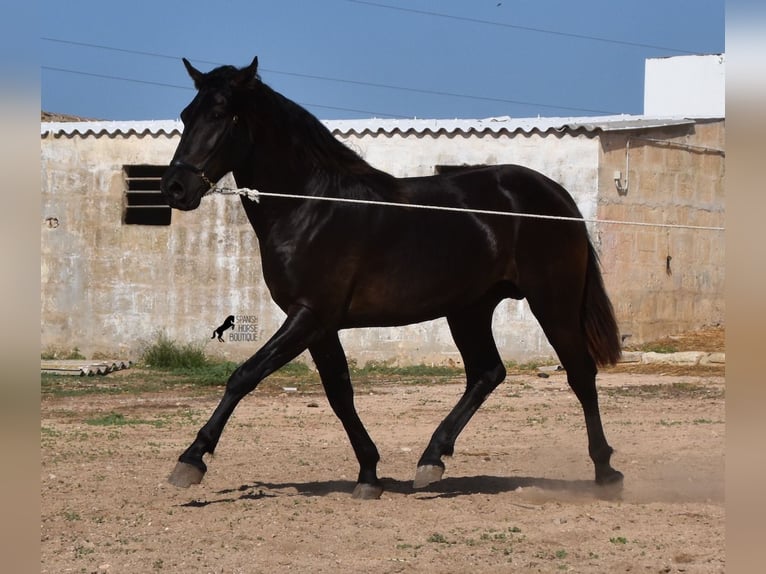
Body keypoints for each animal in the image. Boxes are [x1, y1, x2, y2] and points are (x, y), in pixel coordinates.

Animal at [162, 57, 624, 500]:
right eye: (186, 114)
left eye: (220, 114)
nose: (174, 187)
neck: (310, 207)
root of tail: (555, 195)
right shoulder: (320, 325)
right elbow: (339, 394)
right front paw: (368, 474)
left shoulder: (308, 316)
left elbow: (245, 375)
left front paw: (191, 460)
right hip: (469, 308)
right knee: (487, 373)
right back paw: (432, 459)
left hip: (552, 301)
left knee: (580, 373)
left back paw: (606, 471)